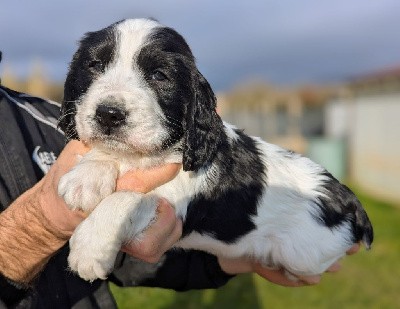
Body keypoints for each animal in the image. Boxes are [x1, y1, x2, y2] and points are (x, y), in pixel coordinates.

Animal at [57, 18, 374, 280]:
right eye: (94, 66)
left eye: (159, 75)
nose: (109, 114)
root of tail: (348, 198)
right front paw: (86, 178)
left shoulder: (175, 200)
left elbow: (129, 198)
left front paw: (90, 249)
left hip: (305, 256)